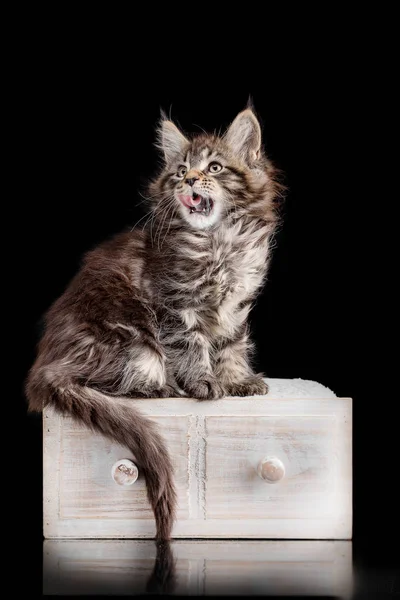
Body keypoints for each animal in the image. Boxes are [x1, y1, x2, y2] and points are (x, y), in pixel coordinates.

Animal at [25, 106, 282, 540]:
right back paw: (163, 387)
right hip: (134, 343)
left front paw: (237, 380)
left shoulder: (237, 305)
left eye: (214, 167)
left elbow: (231, 346)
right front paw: (203, 382)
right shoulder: (175, 303)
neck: (220, 241)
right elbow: (193, 345)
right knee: (109, 382)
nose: (191, 180)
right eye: (180, 171)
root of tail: (46, 365)